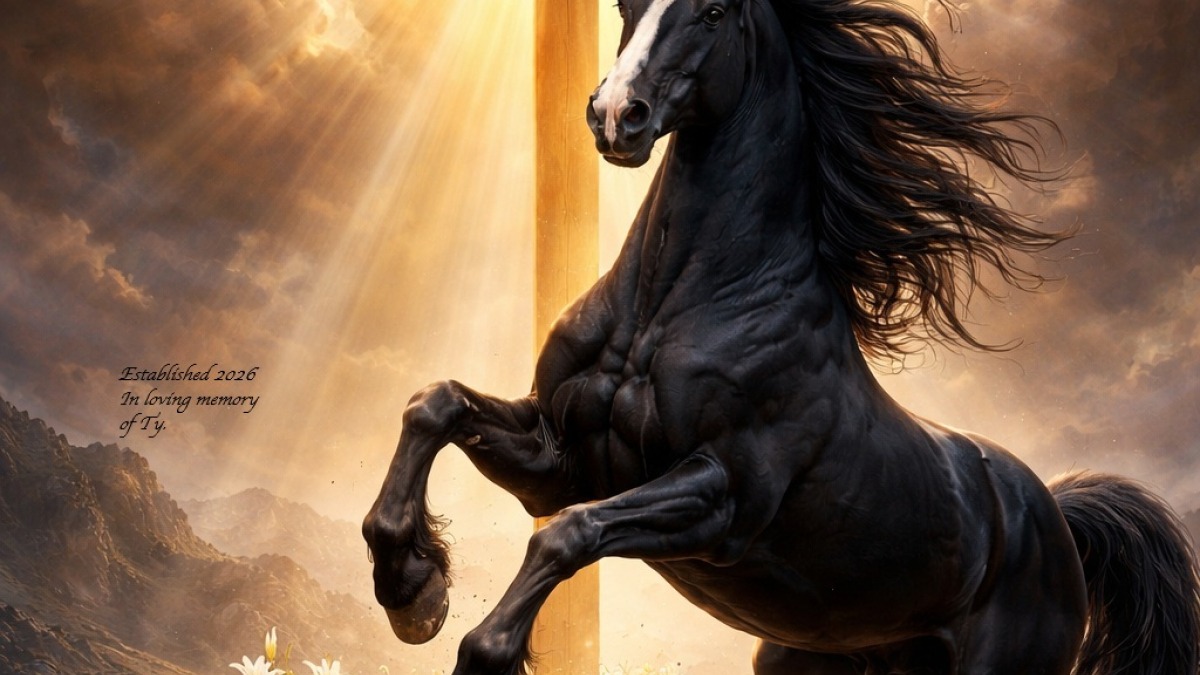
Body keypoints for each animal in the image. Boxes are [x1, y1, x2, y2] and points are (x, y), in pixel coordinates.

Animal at [362, 0, 1200, 673]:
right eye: (627, 4)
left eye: (712, 13)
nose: (616, 114)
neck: (669, 310)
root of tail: (1056, 513)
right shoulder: (559, 454)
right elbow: (434, 405)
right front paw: (412, 592)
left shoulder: (725, 496)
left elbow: (567, 534)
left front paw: (481, 644)